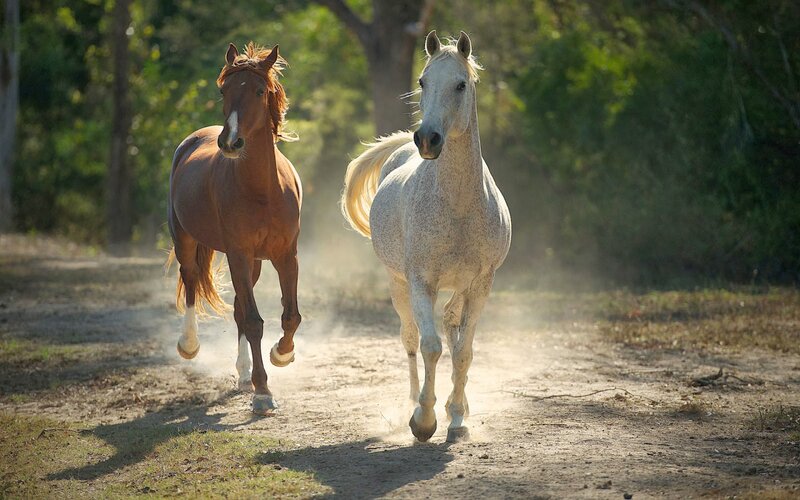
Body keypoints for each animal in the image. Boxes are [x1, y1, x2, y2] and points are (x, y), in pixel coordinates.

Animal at [167, 42, 302, 415]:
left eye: (259, 91)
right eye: (223, 90)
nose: (230, 142)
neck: (262, 190)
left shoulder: (286, 256)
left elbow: (290, 316)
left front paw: (282, 353)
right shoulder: (238, 254)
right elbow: (255, 322)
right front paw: (263, 392)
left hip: (254, 263)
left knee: (240, 308)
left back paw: (243, 374)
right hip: (186, 240)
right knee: (191, 281)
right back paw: (189, 345)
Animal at [341, 31, 512, 442]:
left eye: (461, 84)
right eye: (422, 81)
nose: (428, 139)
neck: (459, 206)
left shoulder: (481, 284)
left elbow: (463, 351)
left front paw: (457, 418)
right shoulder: (421, 282)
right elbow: (430, 346)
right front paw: (424, 419)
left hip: (460, 287)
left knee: (452, 326)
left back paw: (457, 407)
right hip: (397, 283)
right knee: (410, 339)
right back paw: (412, 404)